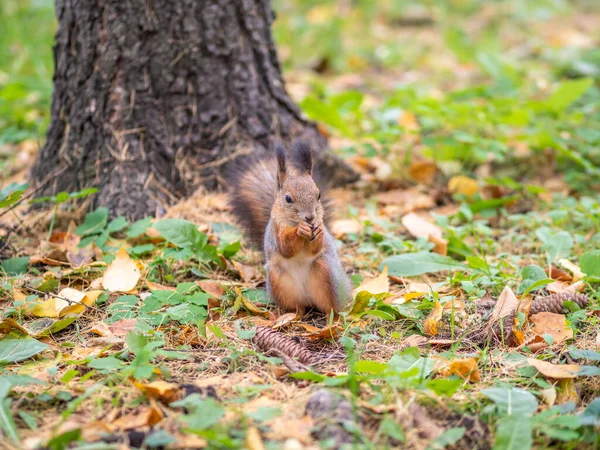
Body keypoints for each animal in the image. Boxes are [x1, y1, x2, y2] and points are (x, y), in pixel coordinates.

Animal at [230, 142, 352, 318]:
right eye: (288, 198)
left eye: (319, 195)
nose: (310, 217)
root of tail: (308, 298)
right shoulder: (277, 231)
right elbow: (286, 248)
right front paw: (300, 230)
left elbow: (315, 248)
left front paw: (319, 231)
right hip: (279, 281)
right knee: (297, 307)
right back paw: (291, 316)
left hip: (329, 275)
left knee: (331, 308)